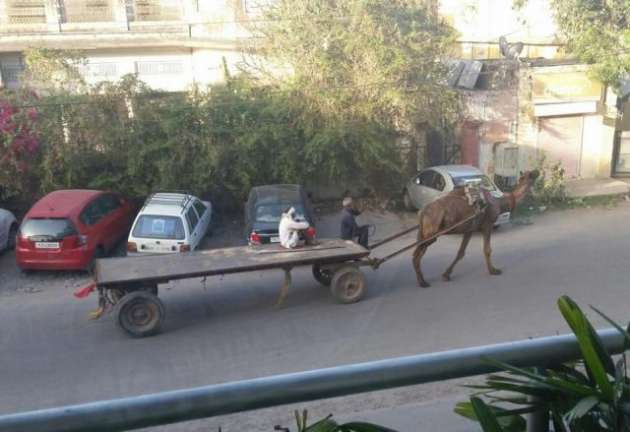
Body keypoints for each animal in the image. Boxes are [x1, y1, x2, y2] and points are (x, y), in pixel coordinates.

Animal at [412, 170, 540, 286]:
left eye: (528, 174)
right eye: (531, 175)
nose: (537, 171)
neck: (499, 204)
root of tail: (423, 211)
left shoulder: (470, 229)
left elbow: (461, 252)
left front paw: (446, 275)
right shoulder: (487, 225)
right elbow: (487, 250)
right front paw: (493, 270)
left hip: (424, 232)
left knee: (418, 251)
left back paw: (421, 279)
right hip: (432, 231)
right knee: (417, 253)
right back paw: (422, 282)